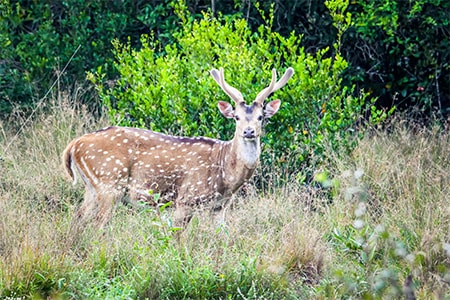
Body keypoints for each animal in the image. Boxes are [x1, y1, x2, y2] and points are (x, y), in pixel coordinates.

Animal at [64, 67, 296, 229]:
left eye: (261, 117)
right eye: (236, 117)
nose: (248, 131)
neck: (225, 175)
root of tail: (74, 145)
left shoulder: (220, 206)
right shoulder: (186, 199)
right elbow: (178, 238)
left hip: (92, 187)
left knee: (77, 217)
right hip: (109, 182)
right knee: (97, 224)